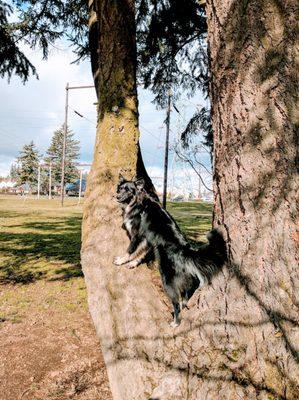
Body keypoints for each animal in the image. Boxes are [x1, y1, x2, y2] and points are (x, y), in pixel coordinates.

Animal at [115, 177, 227, 326]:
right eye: (120, 188)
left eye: (128, 190)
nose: (116, 196)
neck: (138, 204)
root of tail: (185, 251)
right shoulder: (147, 239)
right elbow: (141, 252)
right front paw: (133, 263)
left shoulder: (137, 235)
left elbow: (130, 250)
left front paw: (122, 260)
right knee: (186, 294)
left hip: (167, 280)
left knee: (176, 302)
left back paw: (175, 322)